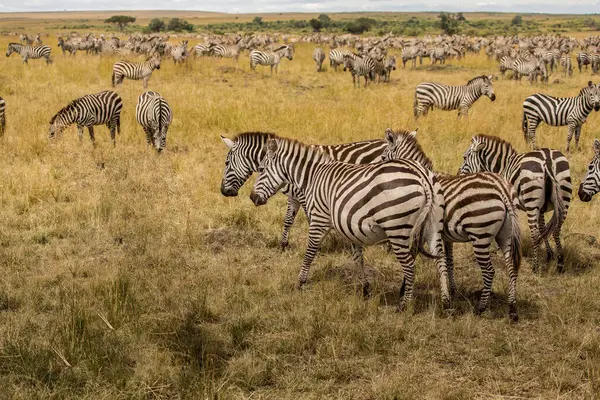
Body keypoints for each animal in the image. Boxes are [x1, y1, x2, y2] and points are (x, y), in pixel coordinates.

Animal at [220, 131, 390, 250]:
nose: (223, 192)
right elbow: (288, 219)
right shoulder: (294, 197)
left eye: (226, 163)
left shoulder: (305, 195)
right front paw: (283, 245)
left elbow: (309, 218)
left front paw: (324, 243)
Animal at [248, 137, 450, 310]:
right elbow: (358, 257)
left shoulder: (319, 219)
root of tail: (423, 175)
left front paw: (300, 282)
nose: (252, 198)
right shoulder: (350, 226)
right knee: (440, 259)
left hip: (397, 227)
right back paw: (446, 302)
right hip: (433, 224)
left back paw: (404, 304)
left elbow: (310, 253)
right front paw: (365, 289)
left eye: (261, 169)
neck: (313, 177)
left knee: (409, 265)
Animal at [460, 136, 572, 274]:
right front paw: (549, 254)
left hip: (532, 202)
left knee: (535, 233)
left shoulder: (509, 202)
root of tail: (548, 160)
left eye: (465, 157)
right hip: (564, 196)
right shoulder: (541, 209)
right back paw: (560, 263)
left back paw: (535, 267)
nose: (459, 175)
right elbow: (543, 228)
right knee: (556, 229)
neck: (502, 166)